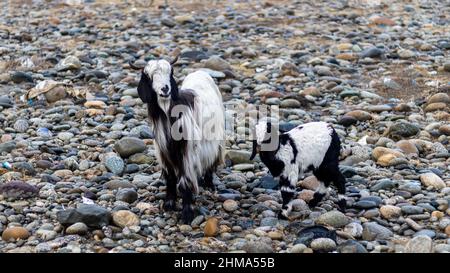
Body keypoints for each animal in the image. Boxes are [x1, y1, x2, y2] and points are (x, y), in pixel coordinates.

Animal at [134, 57, 225, 223]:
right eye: (149, 77)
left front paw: (187, 213)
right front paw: (169, 204)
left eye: (170, 73)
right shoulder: (163, 151)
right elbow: (170, 178)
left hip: (217, 139)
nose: (165, 89)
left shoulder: (187, 151)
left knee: (212, 160)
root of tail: (201, 72)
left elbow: (184, 182)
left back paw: (209, 184)